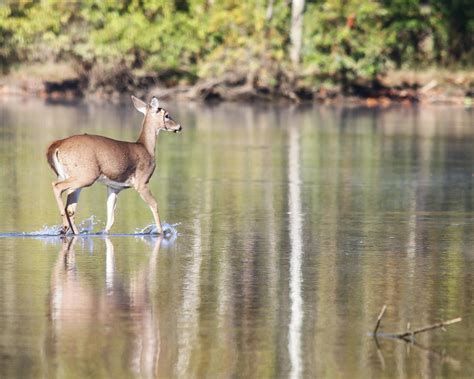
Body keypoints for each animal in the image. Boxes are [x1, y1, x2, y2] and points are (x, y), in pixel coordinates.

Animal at [45, 95, 181, 236]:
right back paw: (65, 226)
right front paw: (161, 231)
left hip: (68, 175)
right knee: (57, 187)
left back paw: (69, 230)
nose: (179, 126)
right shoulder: (141, 182)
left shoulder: (114, 187)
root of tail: (57, 145)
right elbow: (154, 205)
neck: (146, 148)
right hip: (87, 175)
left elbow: (110, 218)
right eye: (167, 115)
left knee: (70, 207)